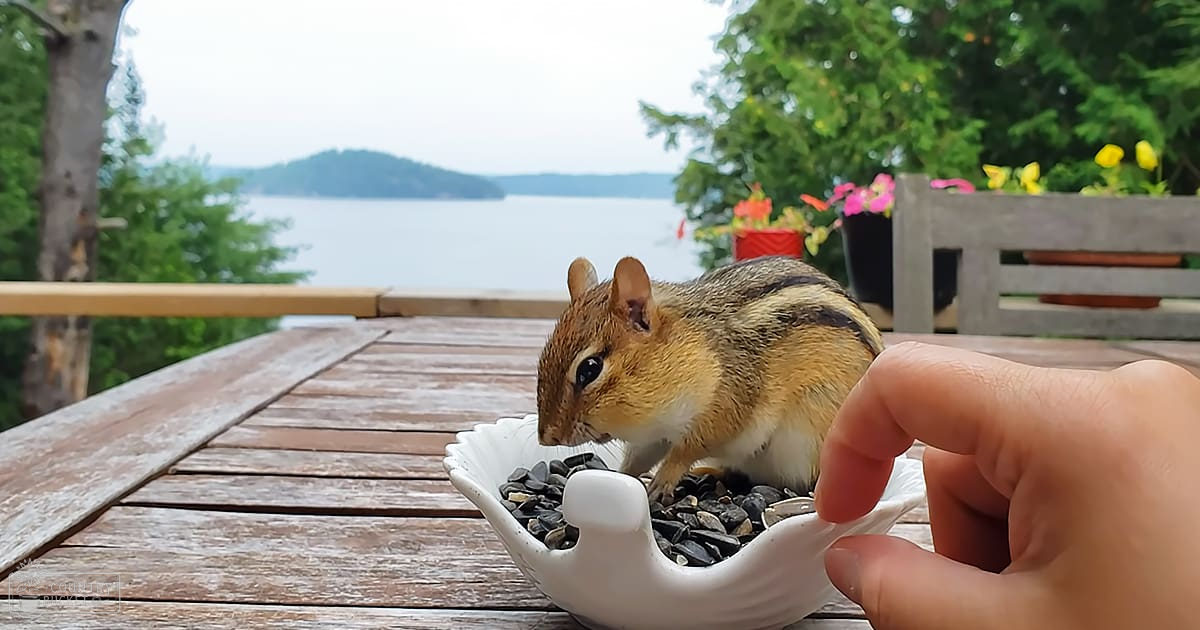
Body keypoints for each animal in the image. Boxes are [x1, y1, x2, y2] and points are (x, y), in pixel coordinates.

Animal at [535, 254, 884, 504]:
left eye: (590, 368)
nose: (546, 437)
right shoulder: (654, 435)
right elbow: (639, 457)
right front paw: (622, 477)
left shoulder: (727, 401)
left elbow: (689, 448)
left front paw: (662, 481)